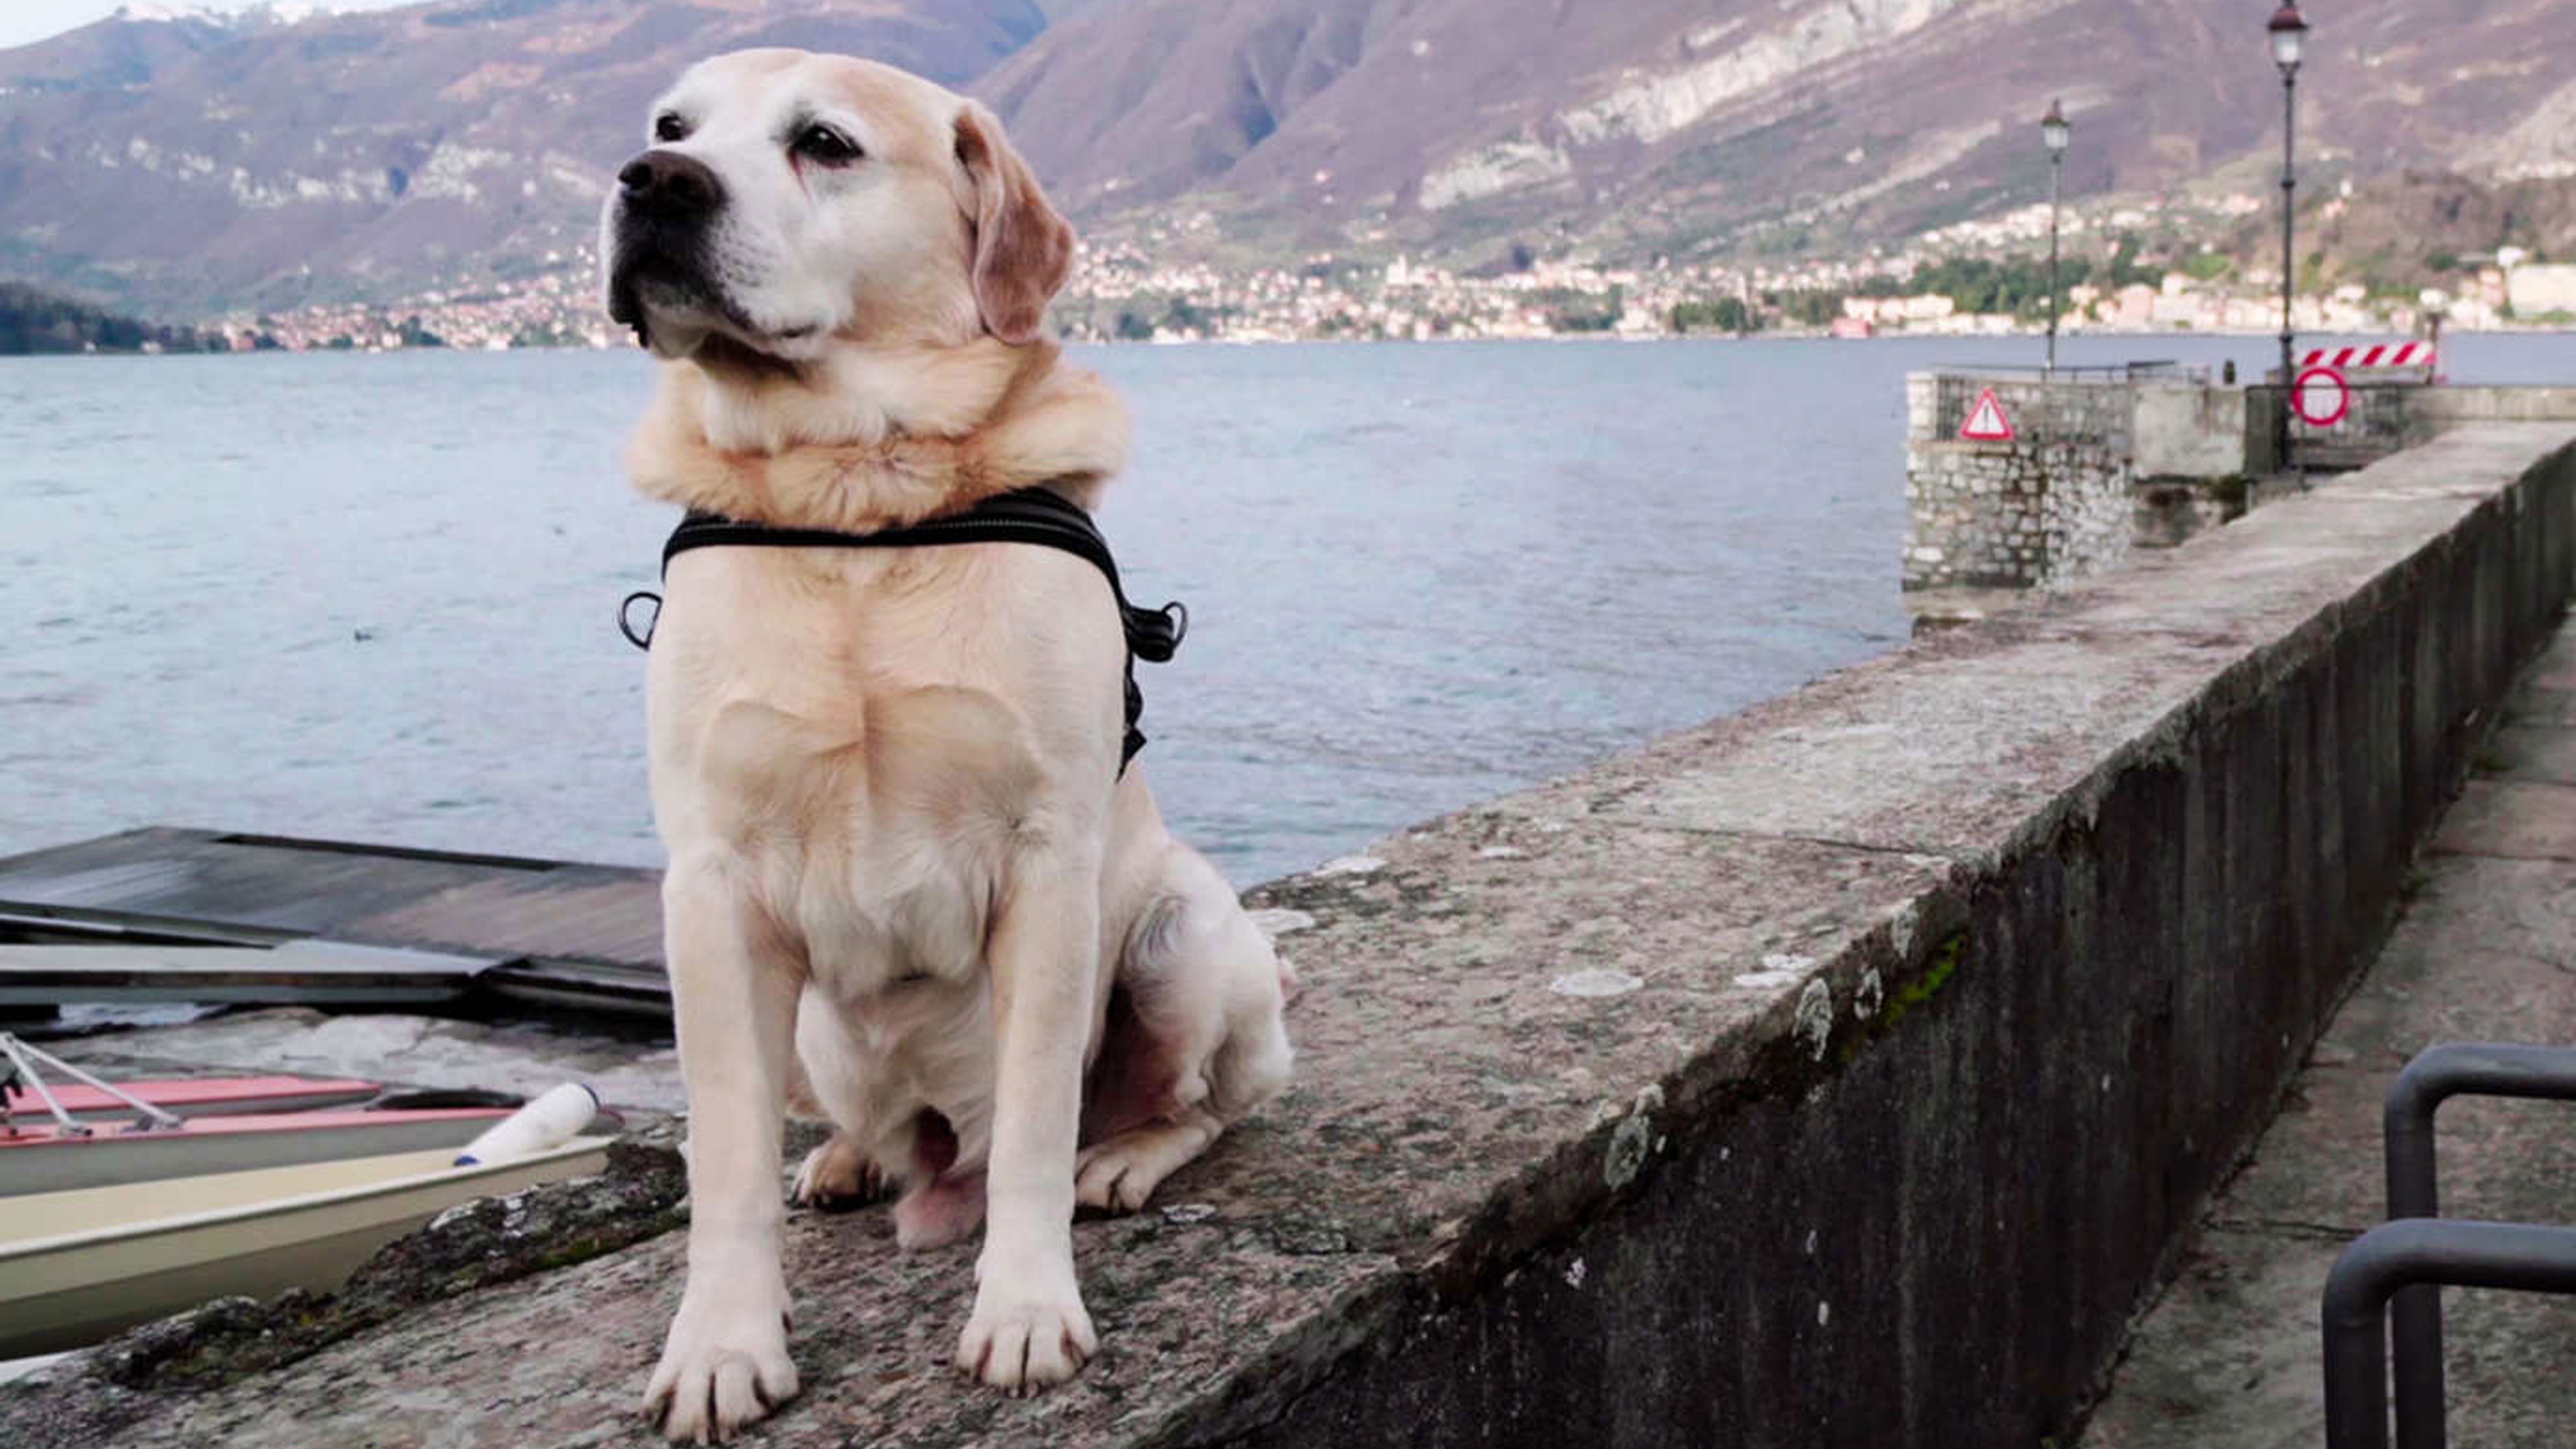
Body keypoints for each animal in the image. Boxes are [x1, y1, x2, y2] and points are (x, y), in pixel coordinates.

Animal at [597, 50, 1288, 1433]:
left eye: (823, 142)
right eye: (671, 124)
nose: (651, 182)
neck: (852, 499)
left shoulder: (1045, 862)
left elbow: (1032, 1125)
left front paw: (1024, 1308)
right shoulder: (710, 886)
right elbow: (724, 1157)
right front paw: (720, 1343)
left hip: (1180, 937)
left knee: (1195, 1106)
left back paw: (1123, 1160)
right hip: (817, 1026)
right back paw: (850, 1157)